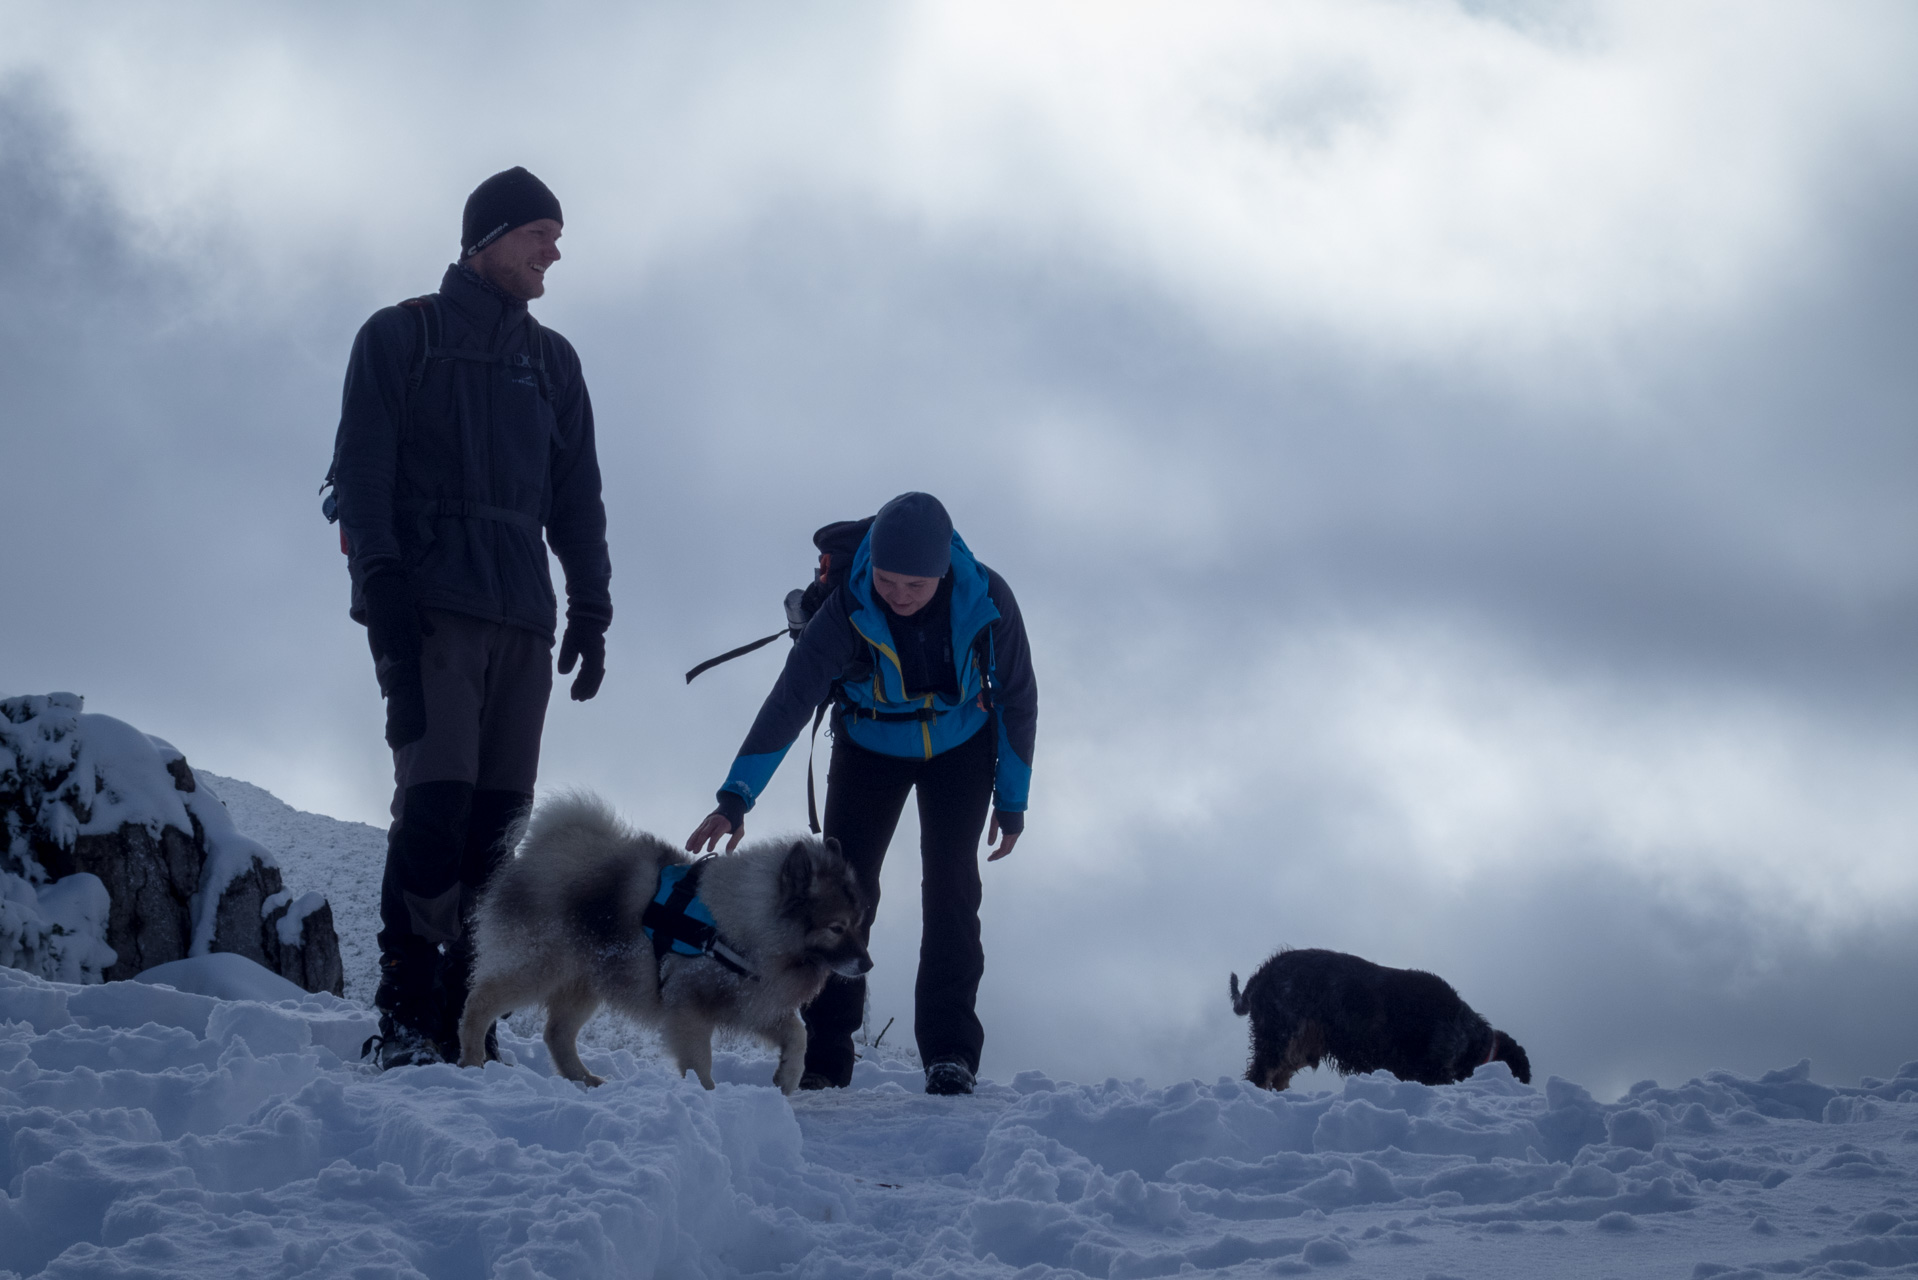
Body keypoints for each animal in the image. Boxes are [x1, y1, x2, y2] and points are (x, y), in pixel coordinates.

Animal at [460, 790, 866, 1090]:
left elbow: (798, 1034)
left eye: (857, 923)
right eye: (837, 928)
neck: (741, 924)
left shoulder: (751, 1000)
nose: (868, 963)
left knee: (557, 1033)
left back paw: (585, 1079)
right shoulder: (691, 1010)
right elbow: (700, 1064)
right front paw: (707, 1097)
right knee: (480, 1003)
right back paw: (472, 1060)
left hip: (586, 981)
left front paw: (788, 1076)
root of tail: (543, 849)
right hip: (541, 966)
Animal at [1235, 951, 1534, 1090]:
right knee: (1260, 1073)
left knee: (1278, 1075)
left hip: (1302, 1047)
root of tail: (1263, 973)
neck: (1470, 1038)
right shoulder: (1432, 1070)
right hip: (1280, 1035)